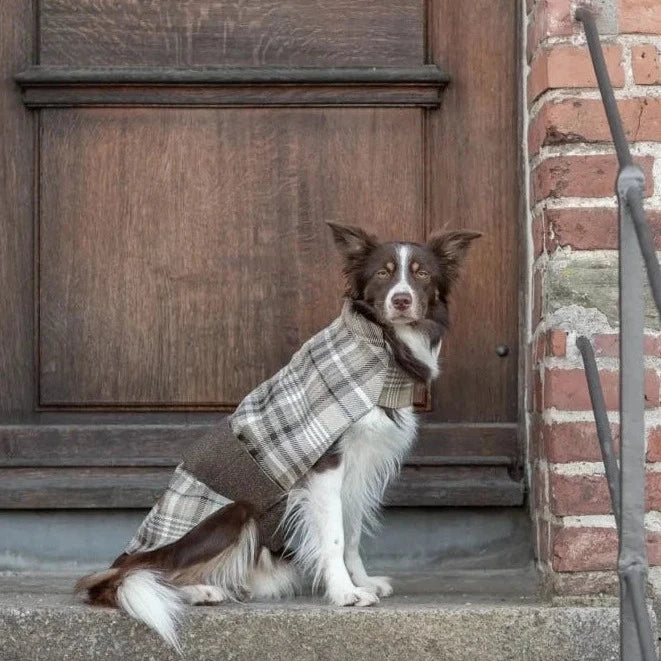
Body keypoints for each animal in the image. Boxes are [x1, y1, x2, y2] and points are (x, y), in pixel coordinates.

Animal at [76, 222, 480, 648]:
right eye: (383, 274)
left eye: (422, 274)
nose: (401, 300)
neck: (379, 348)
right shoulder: (325, 466)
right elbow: (334, 537)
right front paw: (345, 593)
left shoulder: (360, 468)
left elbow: (352, 533)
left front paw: (362, 581)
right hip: (231, 513)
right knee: (141, 575)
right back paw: (197, 590)